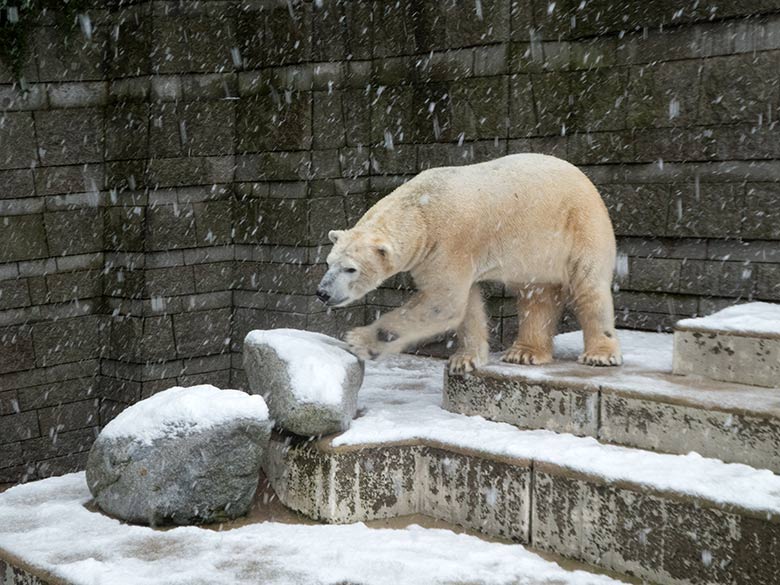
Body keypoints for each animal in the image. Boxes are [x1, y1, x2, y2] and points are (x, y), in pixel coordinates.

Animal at [316, 153, 620, 372]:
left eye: (351, 268)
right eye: (329, 262)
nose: (323, 293)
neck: (421, 210)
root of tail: (585, 178)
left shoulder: (449, 243)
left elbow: (444, 302)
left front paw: (359, 341)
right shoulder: (445, 254)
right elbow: (466, 305)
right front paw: (465, 359)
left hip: (579, 224)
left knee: (589, 285)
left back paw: (599, 355)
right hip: (536, 250)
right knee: (537, 294)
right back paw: (524, 353)